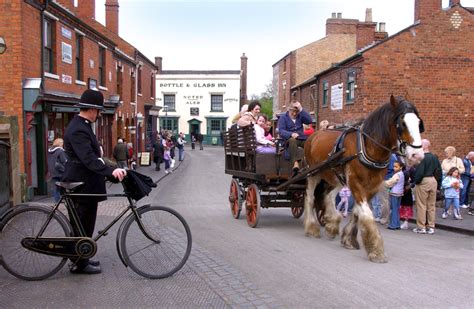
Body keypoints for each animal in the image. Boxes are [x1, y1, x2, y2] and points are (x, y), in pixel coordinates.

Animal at [306, 95, 424, 262]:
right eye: (402, 123)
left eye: (419, 123)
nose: (417, 155)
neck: (368, 147)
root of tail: (314, 134)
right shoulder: (355, 183)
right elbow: (367, 214)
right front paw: (376, 249)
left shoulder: (372, 186)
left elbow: (358, 212)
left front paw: (348, 239)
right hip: (313, 173)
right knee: (310, 198)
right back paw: (311, 227)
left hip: (336, 177)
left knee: (328, 196)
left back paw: (332, 223)